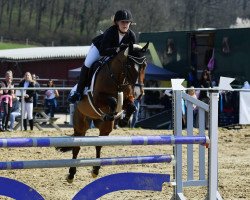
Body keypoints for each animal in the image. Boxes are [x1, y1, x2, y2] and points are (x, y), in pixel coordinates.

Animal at [57, 42, 148, 183]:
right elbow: (113, 101)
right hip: (81, 123)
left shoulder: (128, 98)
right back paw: (71, 174)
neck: (117, 78)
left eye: (144, 66)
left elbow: (132, 107)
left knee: (98, 144)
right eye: (129, 66)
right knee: (77, 146)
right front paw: (112, 114)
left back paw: (95, 170)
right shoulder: (98, 99)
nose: (139, 93)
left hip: (104, 128)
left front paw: (123, 121)